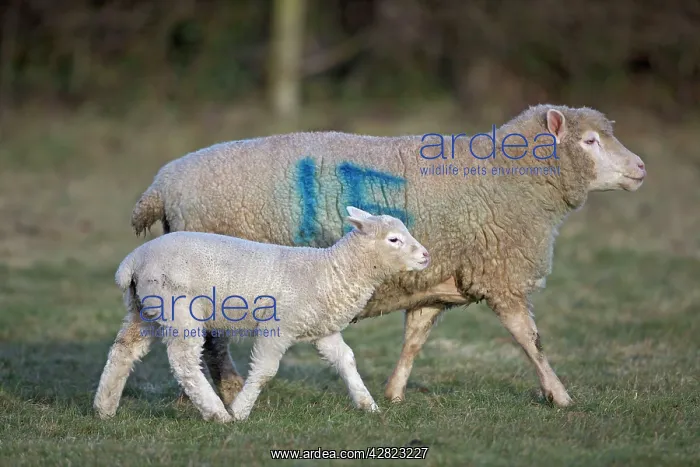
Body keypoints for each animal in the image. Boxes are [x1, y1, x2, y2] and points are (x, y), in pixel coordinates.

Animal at [94, 207, 431, 422]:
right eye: (393, 239)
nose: (426, 256)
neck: (330, 270)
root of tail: (133, 261)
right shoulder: (278, 327)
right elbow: (266, 371)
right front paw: (241, 410)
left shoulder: (323, 329)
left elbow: (346, 361)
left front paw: (367, 404)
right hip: (177, 308)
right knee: (184, 361)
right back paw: (217, 414)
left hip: (145, 309)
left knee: (123, 350)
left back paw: (104, 409)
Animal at [128, 104, 647, 408]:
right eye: (590, 141)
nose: (642, 168)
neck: (509, 178)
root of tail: (161, 186)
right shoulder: (501, 272)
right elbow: (530, 340)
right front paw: (559, 395)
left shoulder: (436, 279)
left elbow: (414, 339)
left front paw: (394, 394)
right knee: (212, 343)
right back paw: (230, 391)